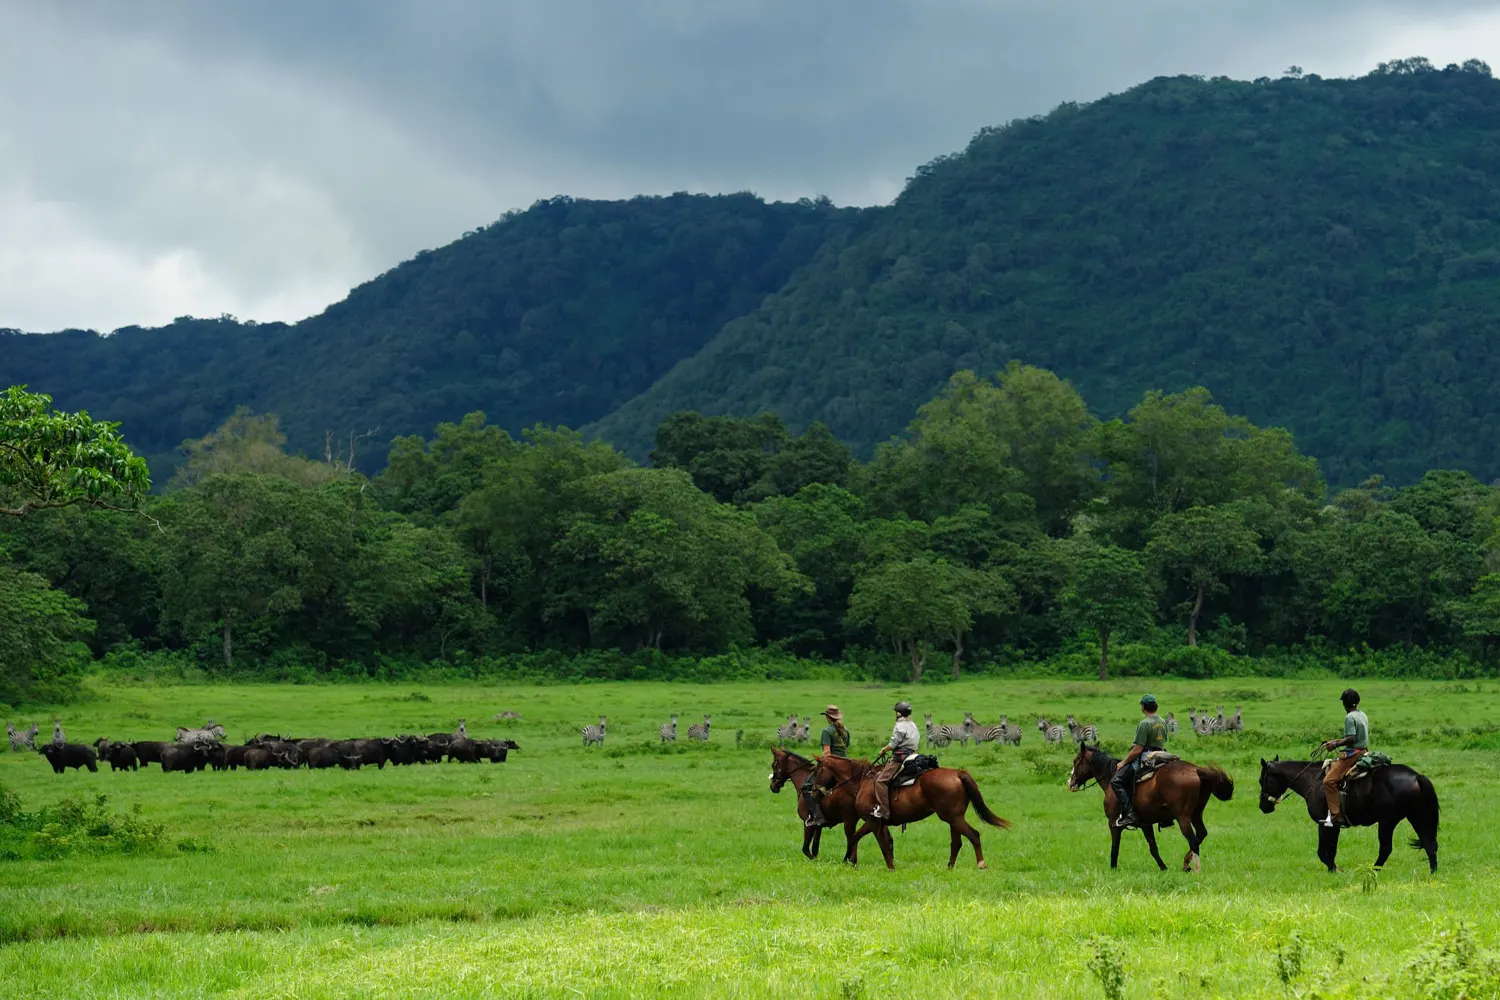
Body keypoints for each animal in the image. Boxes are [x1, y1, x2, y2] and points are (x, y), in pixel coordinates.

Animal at [810, 749, 1008, 869]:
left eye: (817, 771)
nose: (811, 790)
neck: (862, 781)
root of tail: (958, 773)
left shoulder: (873, 821)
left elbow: (881, 844)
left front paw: (890, 867)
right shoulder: (875, 822)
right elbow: (861, 838)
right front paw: (850, 860)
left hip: (953, 818)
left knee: (974, 835)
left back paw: (981, 864)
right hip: (954, 819)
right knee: (957, 842)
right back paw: (949, 867)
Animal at [1068, 740, 1230, 869]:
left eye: (1076, 761)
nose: (1070, 782)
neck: (1110, 777)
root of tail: (1196, 769)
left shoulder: (1113, 823)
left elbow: (1115, 848)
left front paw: (1113, 869)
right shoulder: (1145, 824)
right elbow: (1153, 848)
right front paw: (1163, 868)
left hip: (1183, 818)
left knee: (1193, 841)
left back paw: (1193, 868)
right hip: (1196, 814)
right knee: (1201, 834)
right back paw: (1186, 862)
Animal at [1266, 758, 1440, 875]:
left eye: (1263, 780)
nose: (1263, 807)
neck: (1312, 780)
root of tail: (1416, 776)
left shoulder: (1324, 823)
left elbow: (1322, 851)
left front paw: (1335, 869)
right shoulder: (1334, 825)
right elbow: (1331, 849)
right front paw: (1332, 870)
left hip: (1387, 821)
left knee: (1386, 848)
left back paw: (1373, 870)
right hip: (1416, 817)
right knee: (1429, 844)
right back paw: (1432, 872)